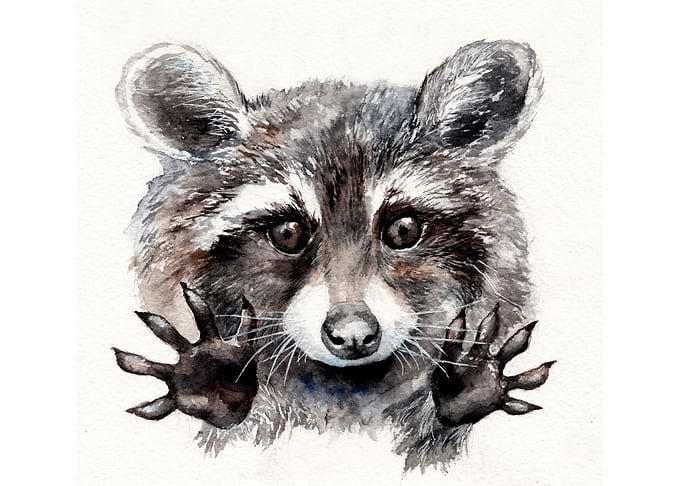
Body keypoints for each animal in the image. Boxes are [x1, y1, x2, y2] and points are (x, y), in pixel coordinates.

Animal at [113, 40, 554, 471]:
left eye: (403, 230)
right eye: (287, 233)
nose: (353, 334)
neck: (345, 384)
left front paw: (463, 384)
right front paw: (216, 379)